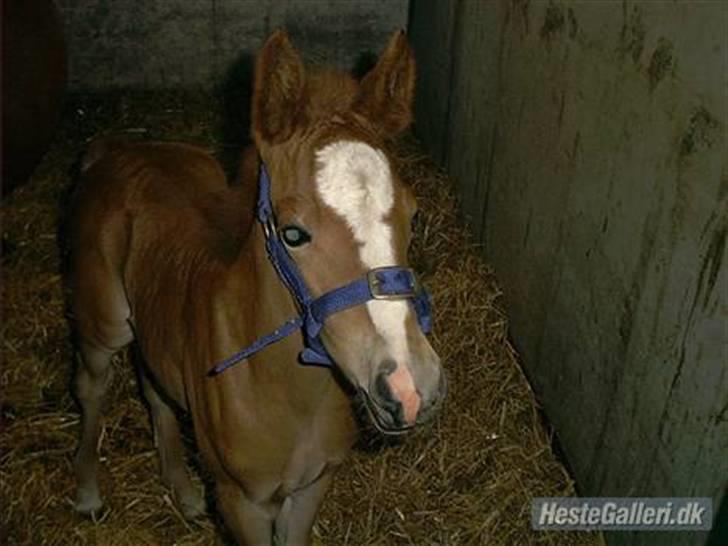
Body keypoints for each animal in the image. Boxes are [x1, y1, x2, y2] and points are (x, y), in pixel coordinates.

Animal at [66, 30, 445, 545]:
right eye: (293, 233)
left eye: (415, 213)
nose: (410, 387)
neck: (290, 393)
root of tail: (117, 151)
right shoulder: (241, 501)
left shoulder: (311, 486)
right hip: (102, 325)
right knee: (91, 386)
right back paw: (87, 493)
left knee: (152, 381)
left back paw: (184, 492)